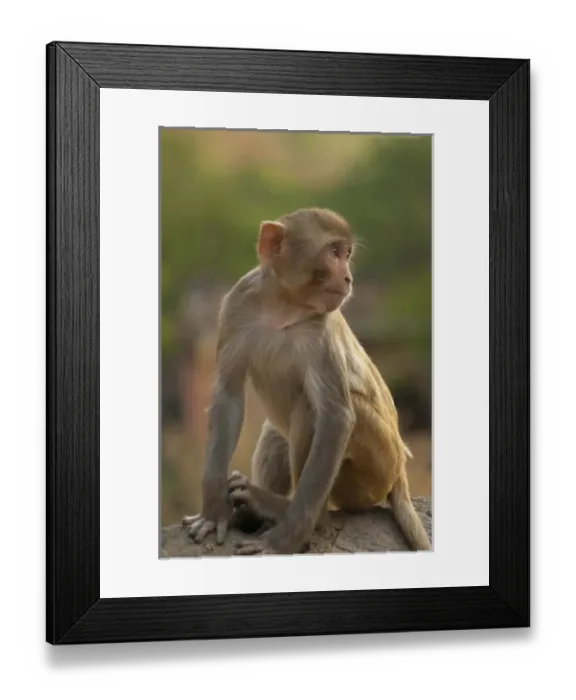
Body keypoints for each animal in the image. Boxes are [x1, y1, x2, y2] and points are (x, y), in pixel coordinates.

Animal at [182, 207, 432, 555]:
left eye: (346, 254)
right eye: (334, 252)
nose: (348, 277)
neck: (282, 306)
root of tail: (400, 475)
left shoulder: (321, 331)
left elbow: (336, 416)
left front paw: (282, 541)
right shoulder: (235, 306)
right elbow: (228, 397)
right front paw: (214, 510)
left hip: (374, 468)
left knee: (311, 410)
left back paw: (292, 513)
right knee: (276, 433)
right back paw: (252, 511)